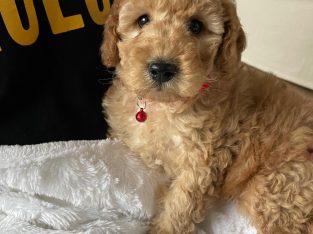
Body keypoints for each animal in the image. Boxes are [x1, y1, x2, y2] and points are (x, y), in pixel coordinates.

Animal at [100, 0, 312, 233]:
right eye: (142, 20)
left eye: (196, 26)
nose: (162, 69)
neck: (164, 105)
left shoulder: (202, 162)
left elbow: (180, 206)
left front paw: (163, 229)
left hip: (277, 190)